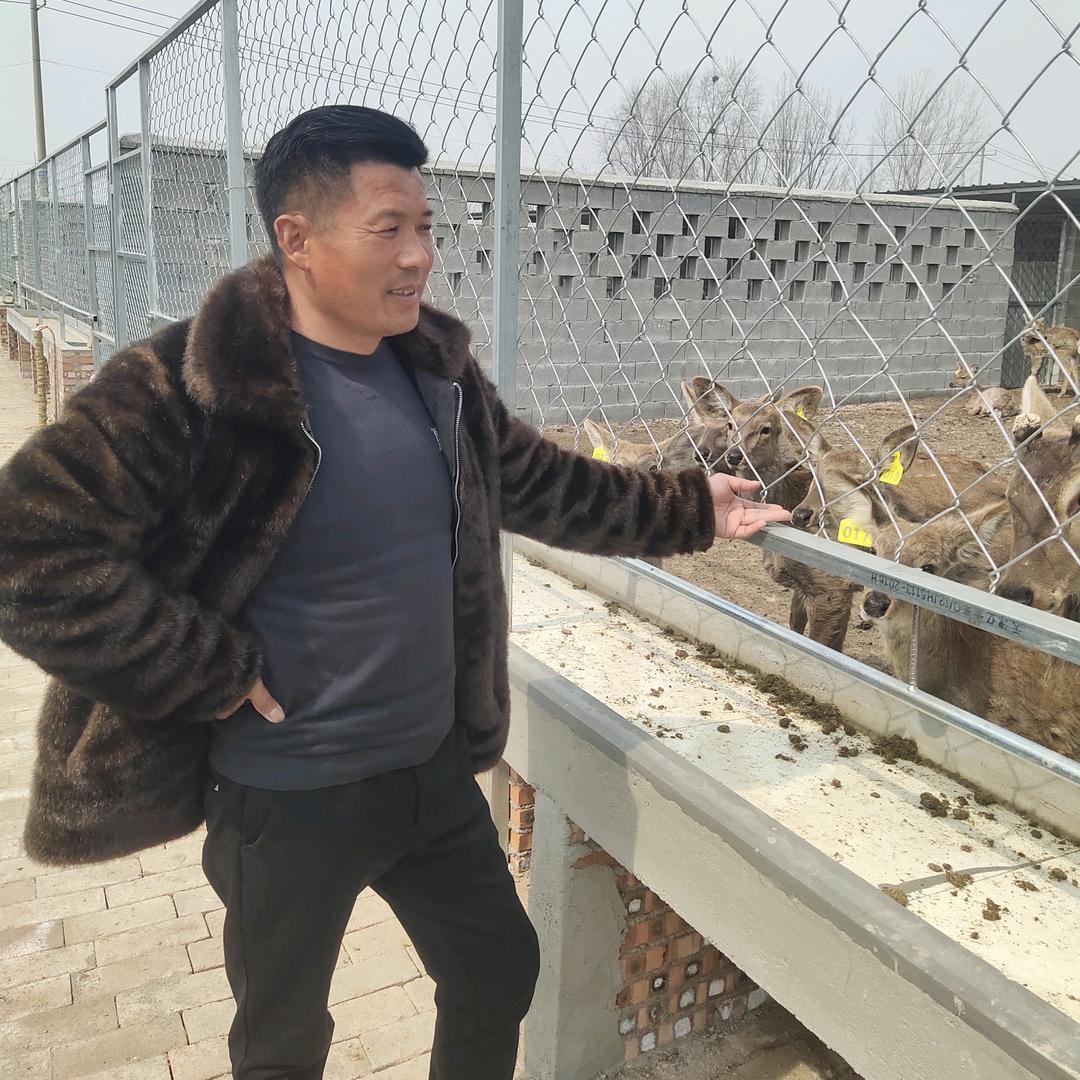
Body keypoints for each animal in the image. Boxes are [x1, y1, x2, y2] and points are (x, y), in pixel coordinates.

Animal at [682, 376, 859, 651]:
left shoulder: (834, 585)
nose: (735, 455)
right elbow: (795, 628)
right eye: (731, 424)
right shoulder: (804, 586)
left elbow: (825, 646)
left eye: (766, 428)